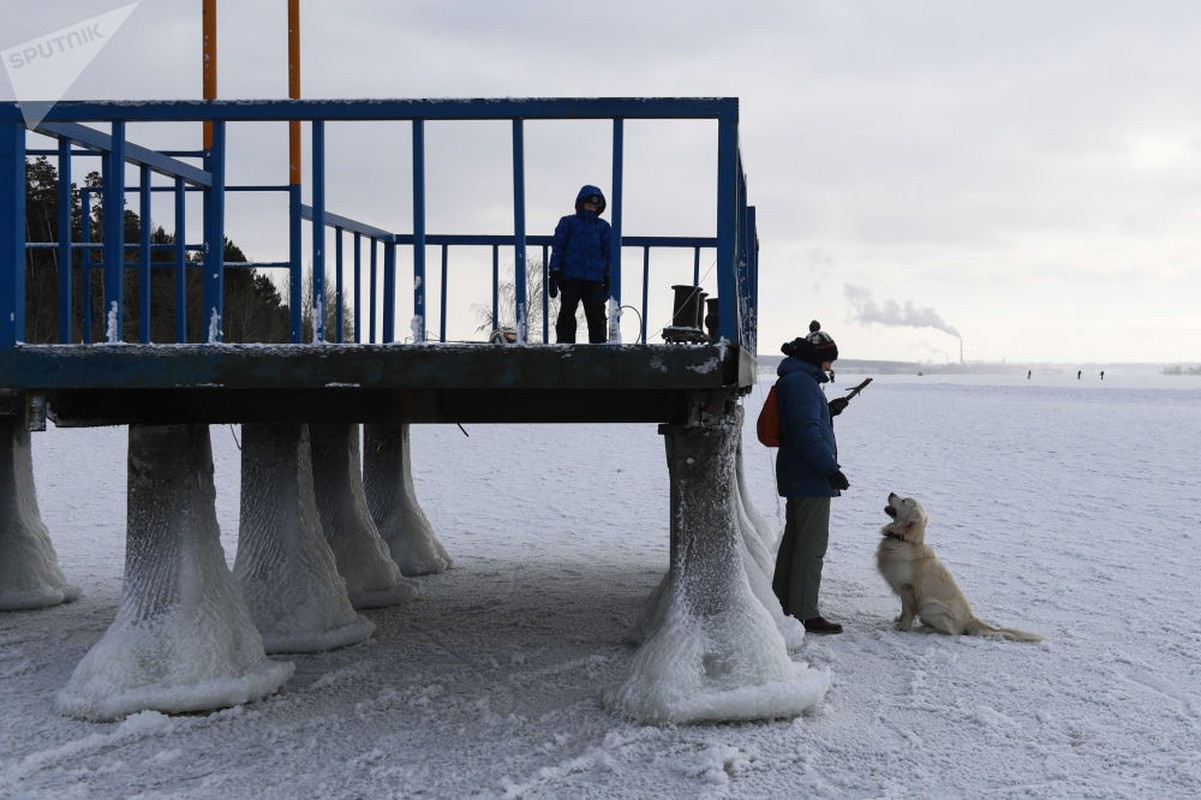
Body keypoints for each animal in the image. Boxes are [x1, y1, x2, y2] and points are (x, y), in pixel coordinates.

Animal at [879, 492, 1047, 643]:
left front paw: (904, 626)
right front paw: (899, 619)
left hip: (929, 606)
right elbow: (903, 608)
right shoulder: (903, 590)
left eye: (904, 500)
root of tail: (971, 619)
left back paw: (926, 628)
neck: (904, 540)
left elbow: (908, 610)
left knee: (951, 632)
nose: (891, 492)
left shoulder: (908, 587)